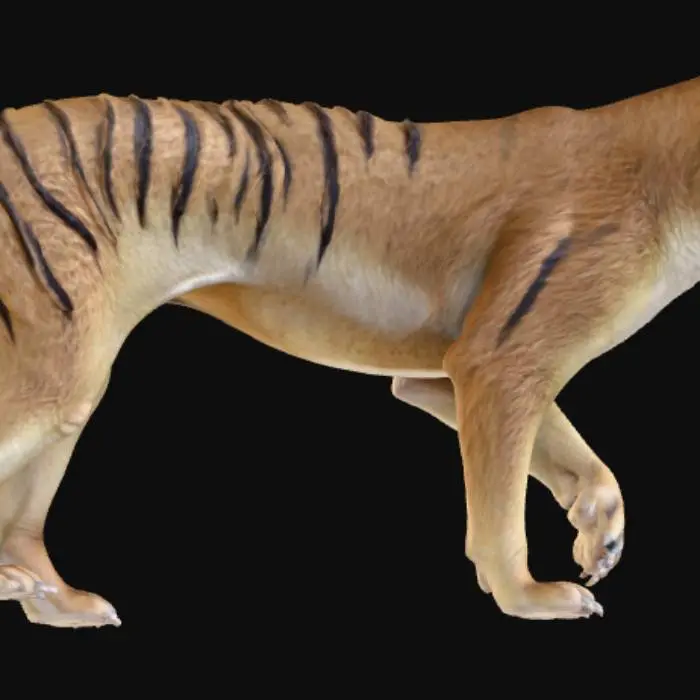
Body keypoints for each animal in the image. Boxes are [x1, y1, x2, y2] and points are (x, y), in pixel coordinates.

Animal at [1, 75, 698, 628]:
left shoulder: (442, 374)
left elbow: (578, 459)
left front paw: (600, 530)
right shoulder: (501, 362)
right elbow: (499, 516)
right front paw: (527, 597)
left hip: (70, 379)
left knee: (24, 527)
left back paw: (55, 601)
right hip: (57, 371)